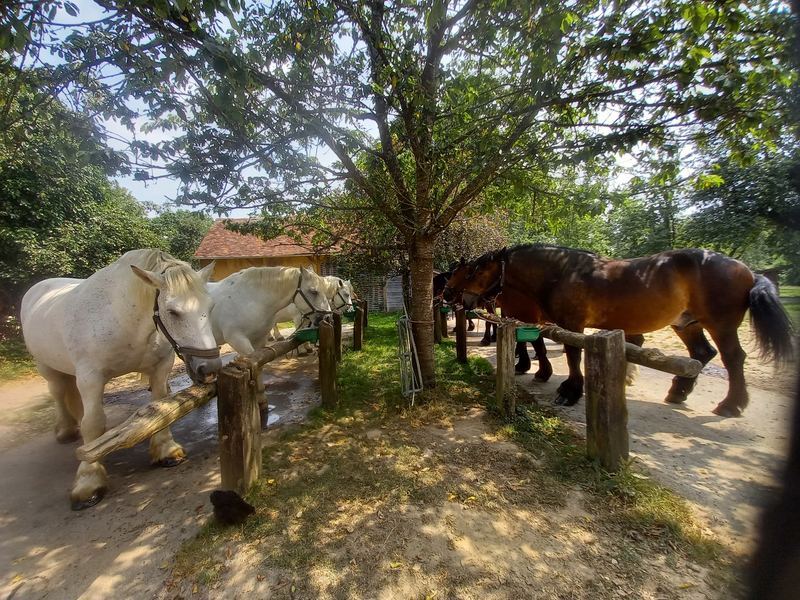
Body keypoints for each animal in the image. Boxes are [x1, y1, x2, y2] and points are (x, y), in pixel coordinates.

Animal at [21, 251, 222, 508]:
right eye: (173, 312)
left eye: (211, 306)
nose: (210, 367)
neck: (123, 318)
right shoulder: (90, 376)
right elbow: (92, 423)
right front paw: (88, 481)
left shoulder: (160, 368)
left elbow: (161, 407)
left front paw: (166, 451)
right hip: (45, 366)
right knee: (58, 393)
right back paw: (66, 430)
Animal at [454, 244, 792, 418]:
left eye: (479, 271)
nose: (463, 299)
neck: (562, 272)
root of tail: (747, 269)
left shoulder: (572, 324)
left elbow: (573, 354)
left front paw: (571, 391)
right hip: (687, 323)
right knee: (701, 353)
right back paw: (679, 391)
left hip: (719, 324)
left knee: (733, 358)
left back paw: (731, 404)